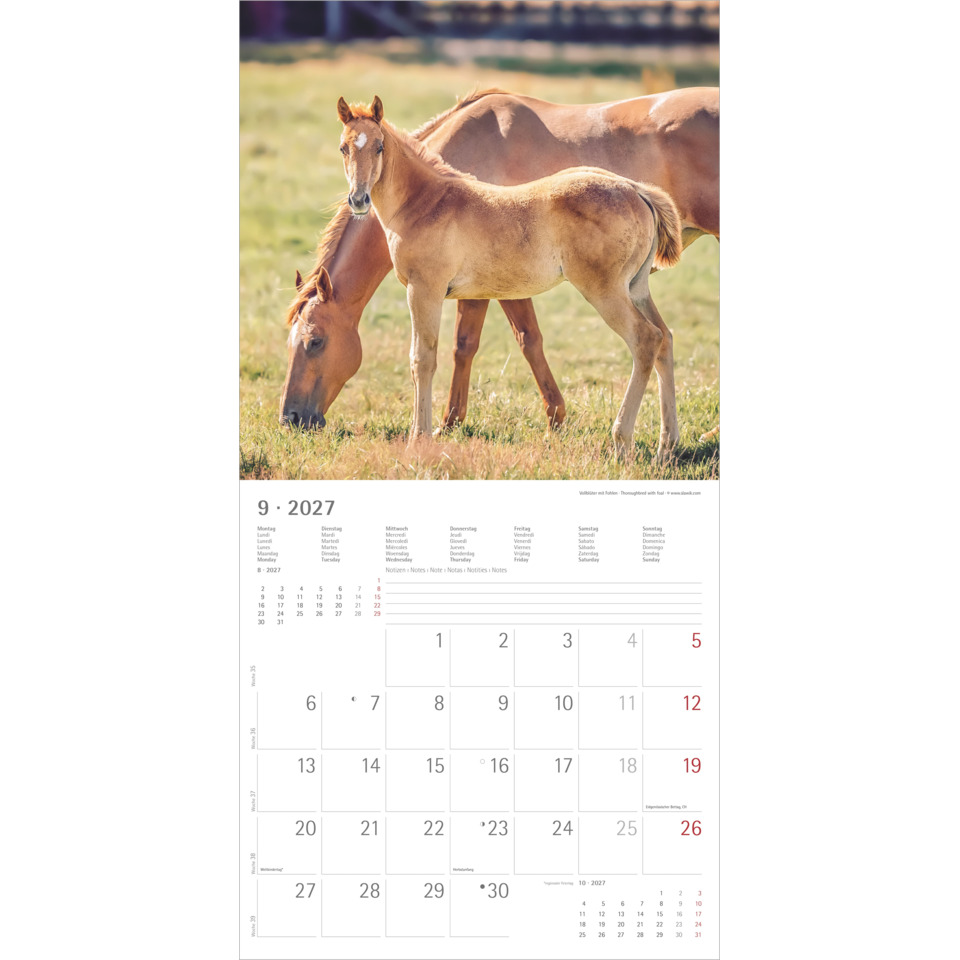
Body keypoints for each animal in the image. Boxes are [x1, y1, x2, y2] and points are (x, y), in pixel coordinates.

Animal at [279, 86, 718, 436]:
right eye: (343, 147)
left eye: (316, 342)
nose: (292, 419)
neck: (428, 201)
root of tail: (636, 190)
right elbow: (480, 345)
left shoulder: (426, 291)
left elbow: (427, 358)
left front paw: (422, 435)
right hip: (637, 287)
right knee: (664, 339)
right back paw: (667, 444)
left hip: (606, 291)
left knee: (645, 340)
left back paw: (622, 440)